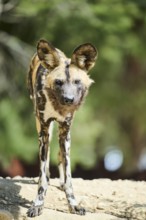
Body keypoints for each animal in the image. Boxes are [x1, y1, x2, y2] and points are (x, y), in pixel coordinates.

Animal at [26, 39, 97, 217]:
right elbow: (42, 175)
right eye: (58, 82)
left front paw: (73, 204)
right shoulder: (44, 131)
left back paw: (62, 183)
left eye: (77, 82)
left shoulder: (65, 132)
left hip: (64, 136)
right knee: (46, 163)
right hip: (42, 128)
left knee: (60, 157)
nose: (69, 99)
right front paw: (38, 204)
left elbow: (69, 176)